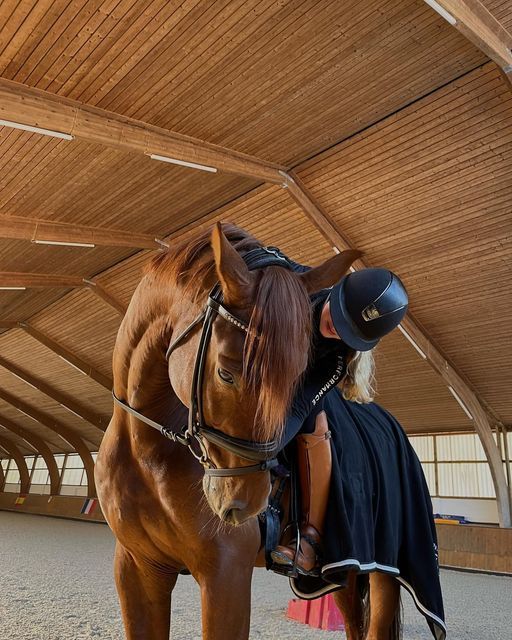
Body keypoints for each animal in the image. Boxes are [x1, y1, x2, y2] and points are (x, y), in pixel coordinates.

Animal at [95, 222, 400, 636]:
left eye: (298, 375)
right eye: (226, 372)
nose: (244, 503)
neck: (147, 450)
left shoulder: (226, 573)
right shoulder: (137, 566)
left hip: (384, 569)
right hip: (344, 575)